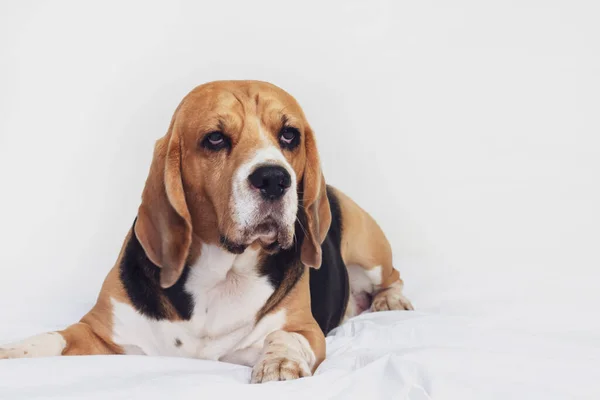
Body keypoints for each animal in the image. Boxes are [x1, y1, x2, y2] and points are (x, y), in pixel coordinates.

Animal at [0, 79, 412, 382]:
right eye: (215, 138)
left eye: (289, 135)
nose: (275, 179)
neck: (222, 273)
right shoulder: (98, 331)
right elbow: (50, 338)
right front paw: (13, 351)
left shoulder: (303, 327)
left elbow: (284, 336)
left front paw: (279, 363)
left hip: (369, 247)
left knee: (393, 276)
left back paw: (390, 301)